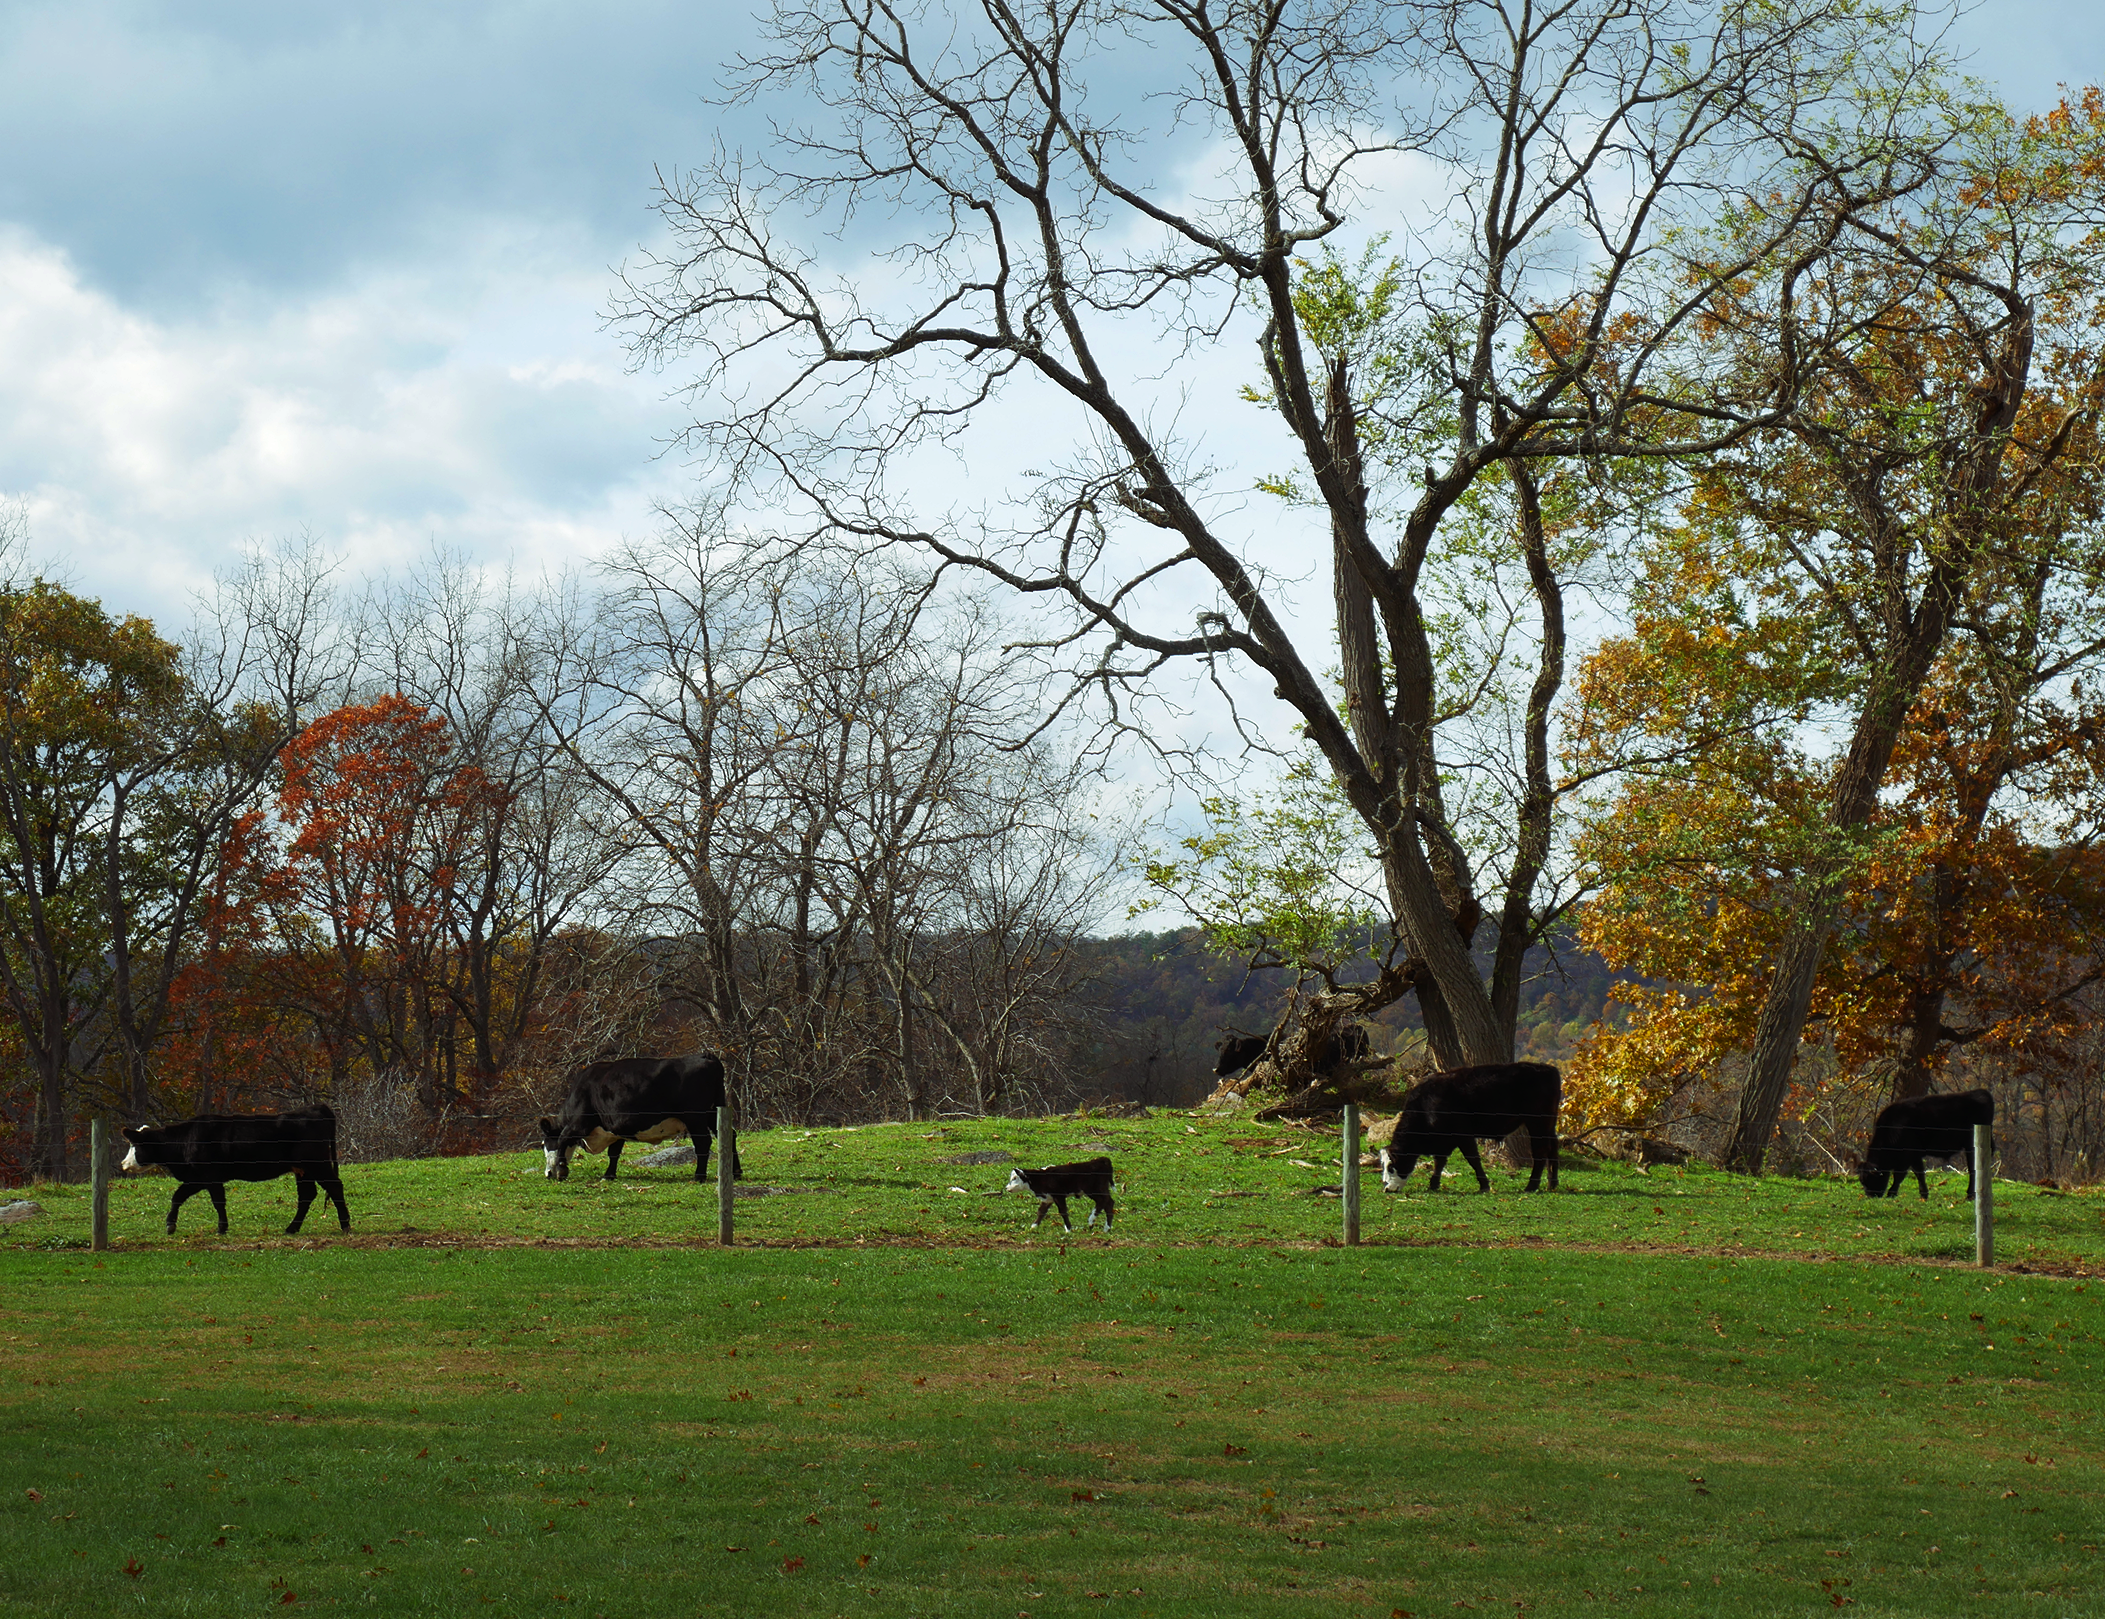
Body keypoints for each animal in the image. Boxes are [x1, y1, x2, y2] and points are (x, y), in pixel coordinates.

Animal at [119, 1105, 350, 1236]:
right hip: (303, 1170)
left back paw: (345, 1225)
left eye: (135, 1146)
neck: (186, 1140)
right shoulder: (198, 1178)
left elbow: (217, 1202)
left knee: (335, 1187)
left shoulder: (210, 1177)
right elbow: (178, 1196)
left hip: (317, 1163)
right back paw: (292, 1228)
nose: (124, 1163)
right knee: (307, 1195)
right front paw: (170, 1225)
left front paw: (221, 1228)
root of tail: (317, 1109)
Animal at [537, 1051, 741, 1183]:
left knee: (703, 1142)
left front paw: (561, 1170)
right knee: (729, 1135)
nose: (547, 1174)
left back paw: (699, 1176)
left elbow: (563, 1138)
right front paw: (608, 1175)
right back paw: (736, 1172)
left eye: (544, 1144)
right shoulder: (615, 1128)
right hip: (714, 1112)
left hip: (695, 1117)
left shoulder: (581, 1122)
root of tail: (705, 1056)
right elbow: (614, 1153)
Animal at [1380, 1061, 1562, 1193]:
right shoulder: (1444, 1140)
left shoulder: (1463, 1135)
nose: (1387, 1189)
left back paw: (1532, 1186)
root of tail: (1547, 1068)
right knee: (1553, 1148)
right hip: (1549, 1125)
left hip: (1537, 1123)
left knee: (1540, 1152)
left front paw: (1484, 1185)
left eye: (1391, 1167)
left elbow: (1473, 1159)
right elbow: (1439, 1162)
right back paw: (1552, 1184)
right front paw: (1433, 1184)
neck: (1425, 1105)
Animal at [1857, 1088, 1994, 1199]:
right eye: (1862, 1181)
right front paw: (1924, 1194)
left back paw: (1970, 1195)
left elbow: (1900, 1176)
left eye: (1870, 1179)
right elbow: (1919, 1173)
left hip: (1972, 1147)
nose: (1870, 1195)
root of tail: (1981, 1093)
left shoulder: (1907, 1156)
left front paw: (1891, 1193)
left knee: (1973, 1169)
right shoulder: (1914, 1157)